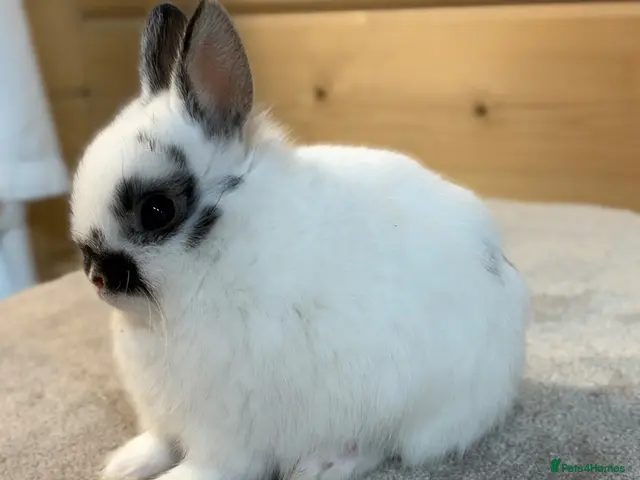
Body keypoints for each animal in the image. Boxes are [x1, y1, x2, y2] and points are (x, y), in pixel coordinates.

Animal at [69, 1, 530, 480]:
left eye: (157, 210)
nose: (97, 276)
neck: (220, 255)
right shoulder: (164, 415)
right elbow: (160, 442)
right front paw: (124, 464)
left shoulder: (224, 432)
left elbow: (208, 465)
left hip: (402, 406)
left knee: (380, 446)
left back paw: (321, 466)